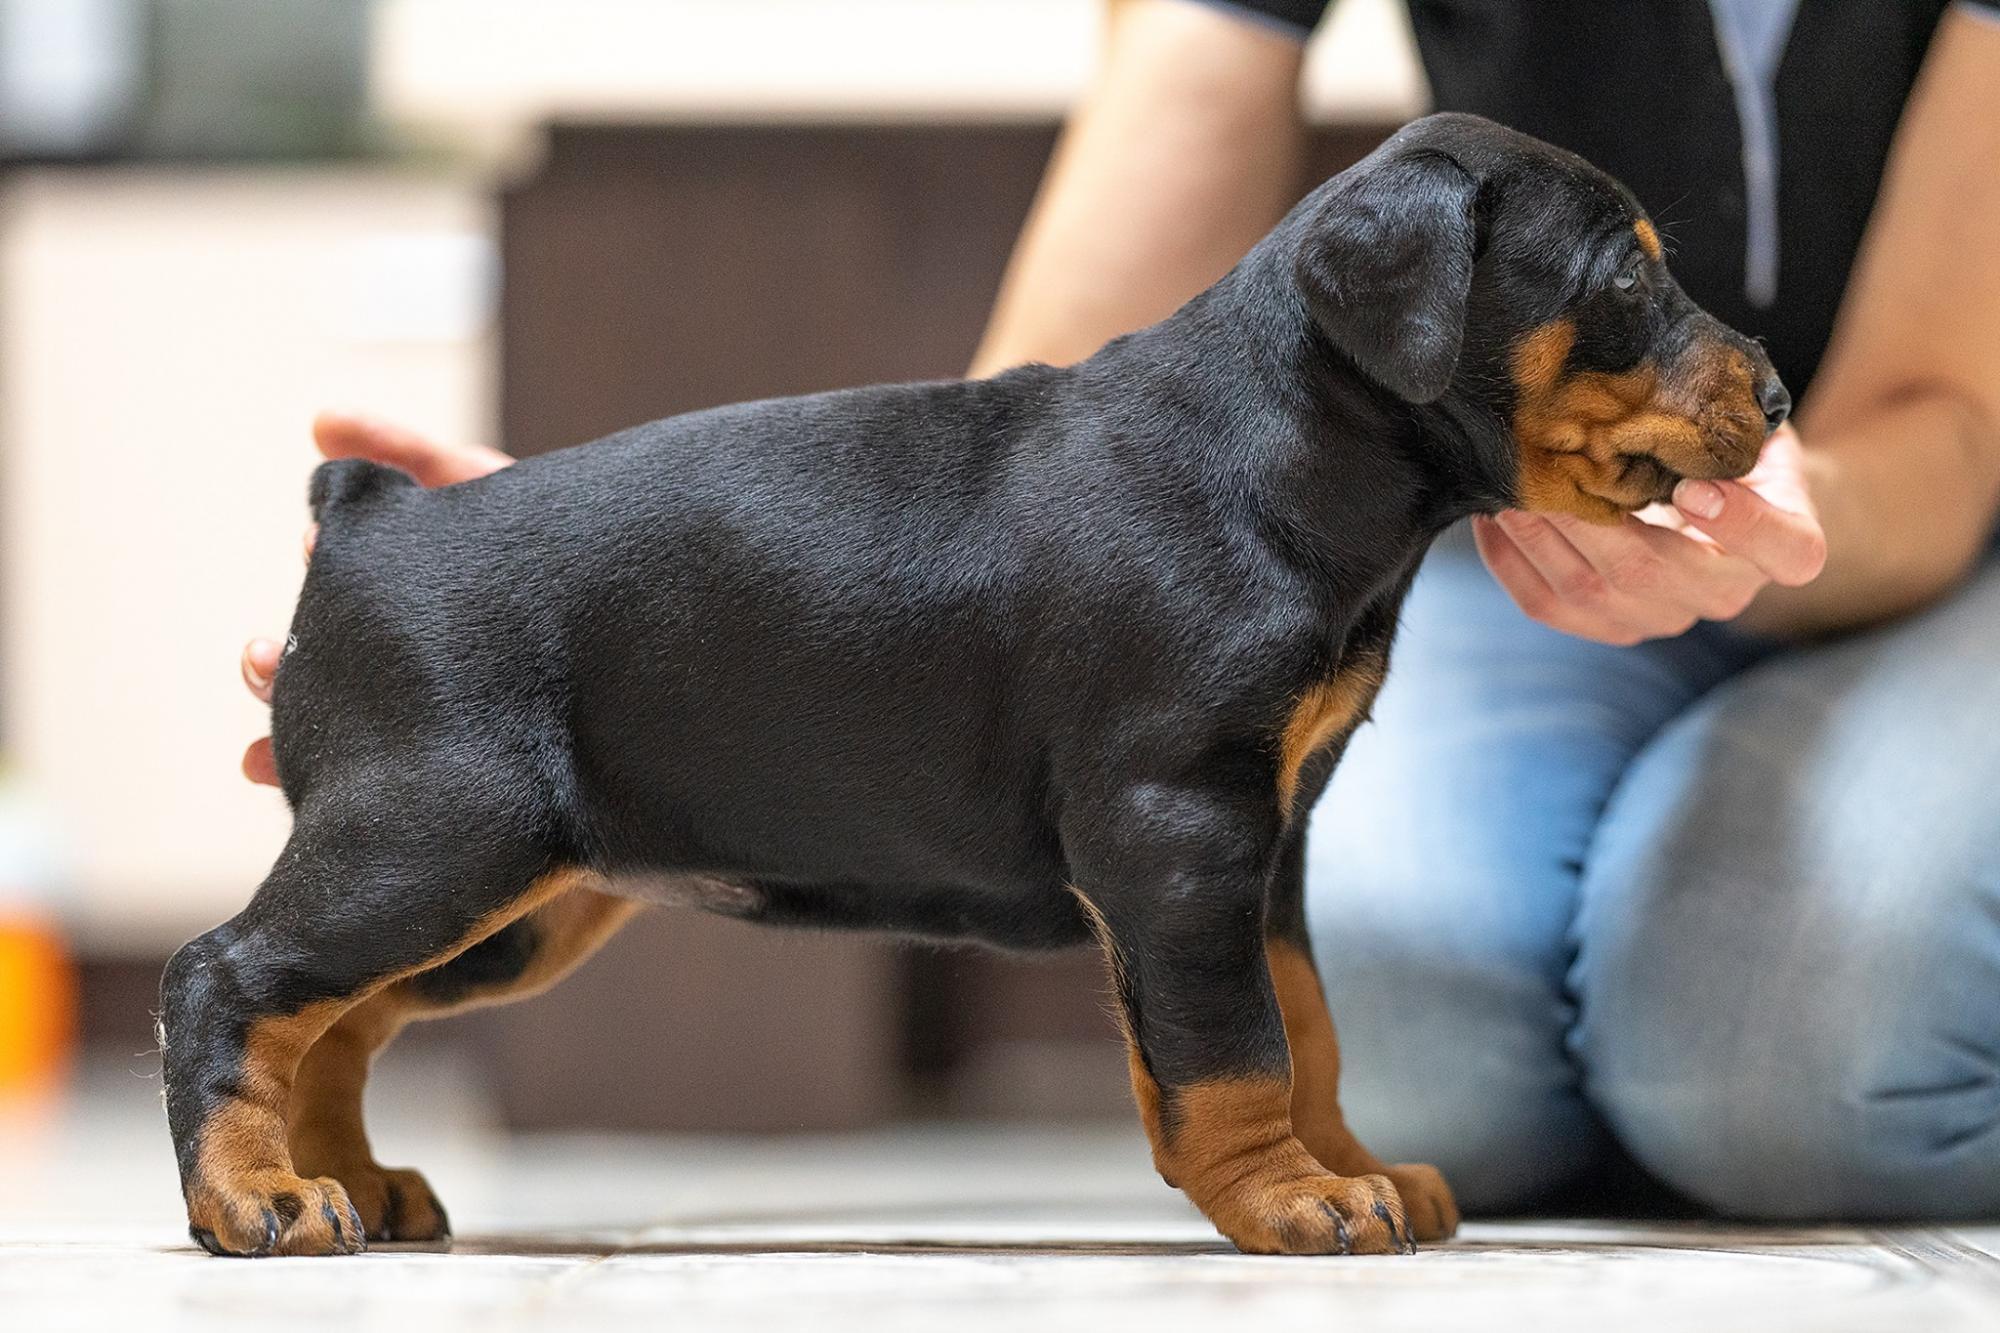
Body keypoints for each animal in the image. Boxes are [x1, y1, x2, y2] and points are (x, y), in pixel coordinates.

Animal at [156, 114, 1784, 1256]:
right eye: (1630, 273)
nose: (1774, 391)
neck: (1294, 452)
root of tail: (367, 512)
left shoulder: (1268, 847)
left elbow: (1307, 1020)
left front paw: (1351, 1163)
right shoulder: (1179, 827)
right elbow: (1238, 1045)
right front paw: (1289, 1201)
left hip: (520, 899)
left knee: (335, 1016)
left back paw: (347, 1180)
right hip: (440, 835)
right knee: (228, 975)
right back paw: (258, 1201)